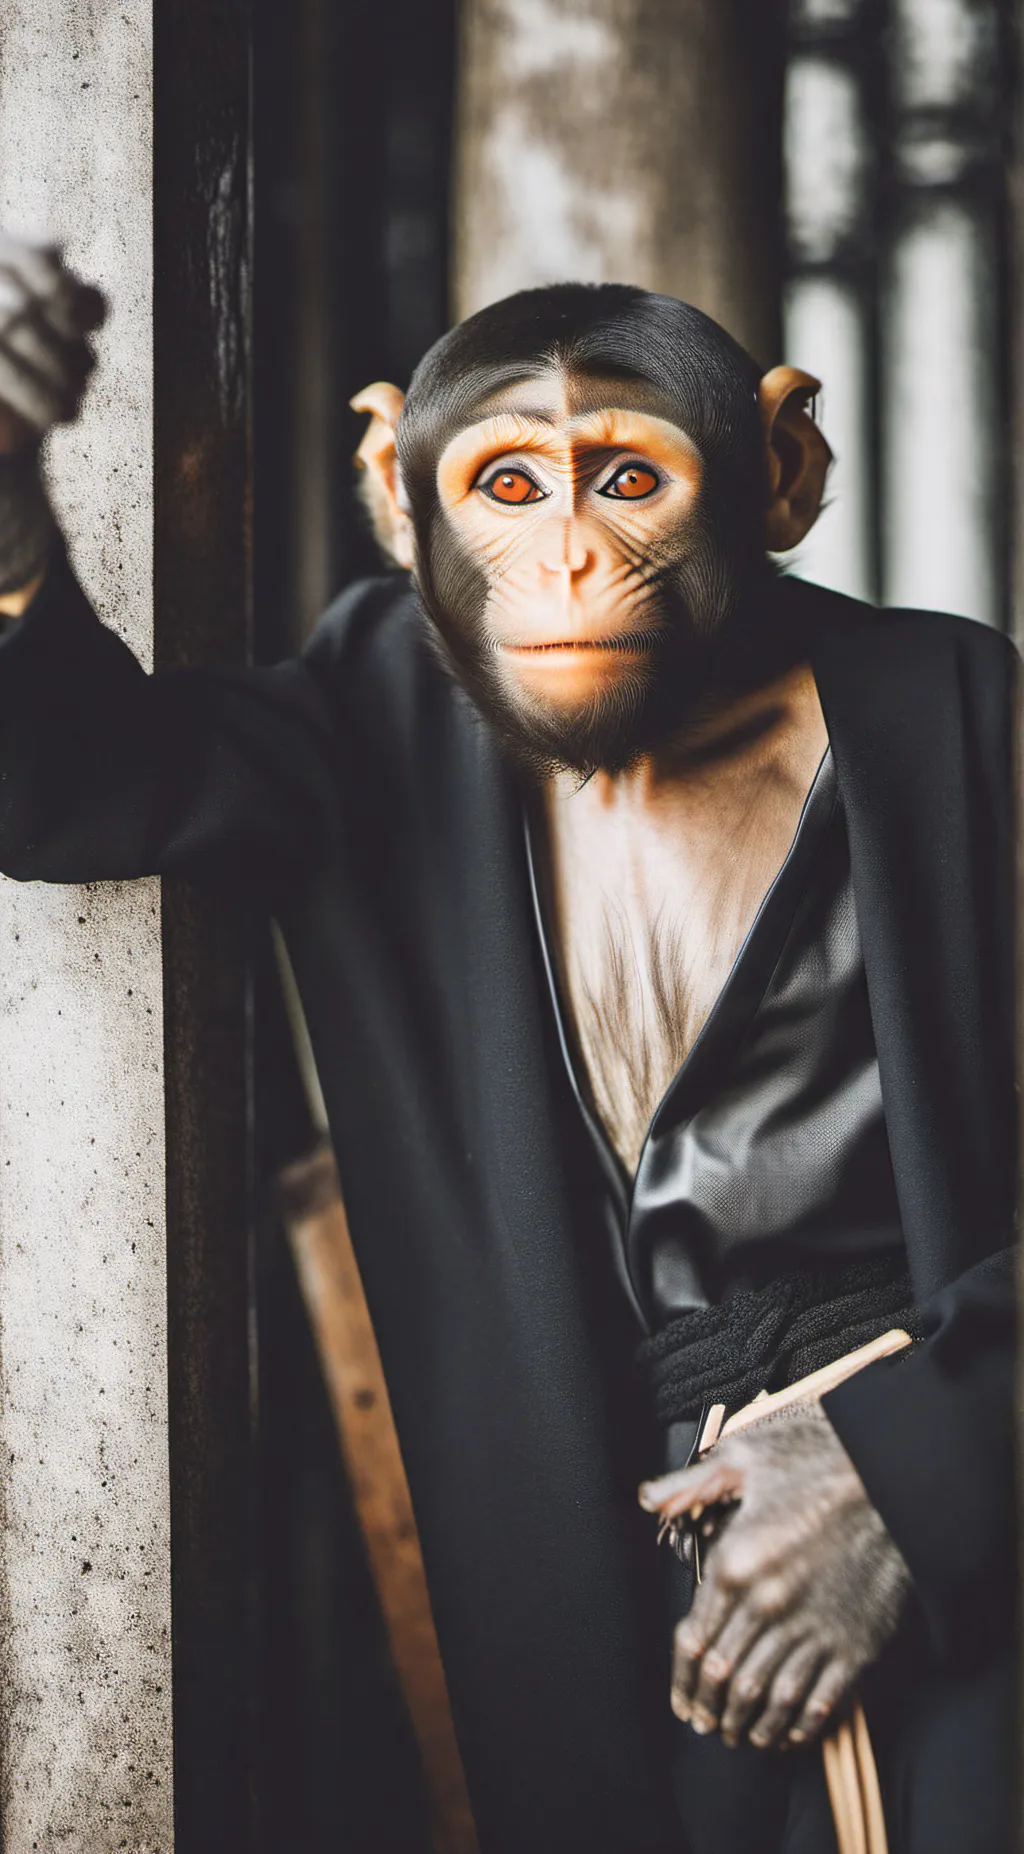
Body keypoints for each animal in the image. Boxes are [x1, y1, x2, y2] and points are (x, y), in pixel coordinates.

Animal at [0, 243, 1015, 1854]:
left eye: (628, 478)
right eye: (515, 487)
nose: (575, 561)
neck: (666, 733)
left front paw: (818, 1521)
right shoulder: (334, 710)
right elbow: (125, 767)